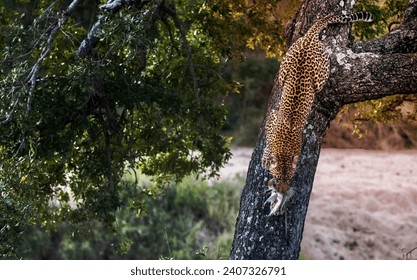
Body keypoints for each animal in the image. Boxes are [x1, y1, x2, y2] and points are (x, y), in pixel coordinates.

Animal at [262, 11, 372, 217]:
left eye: (288, 178)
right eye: (279, 177)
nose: (282, 191)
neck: (284, 149)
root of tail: (308, 39)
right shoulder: (272, 117)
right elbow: (267, 147)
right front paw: (265, 160)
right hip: (303, 72)